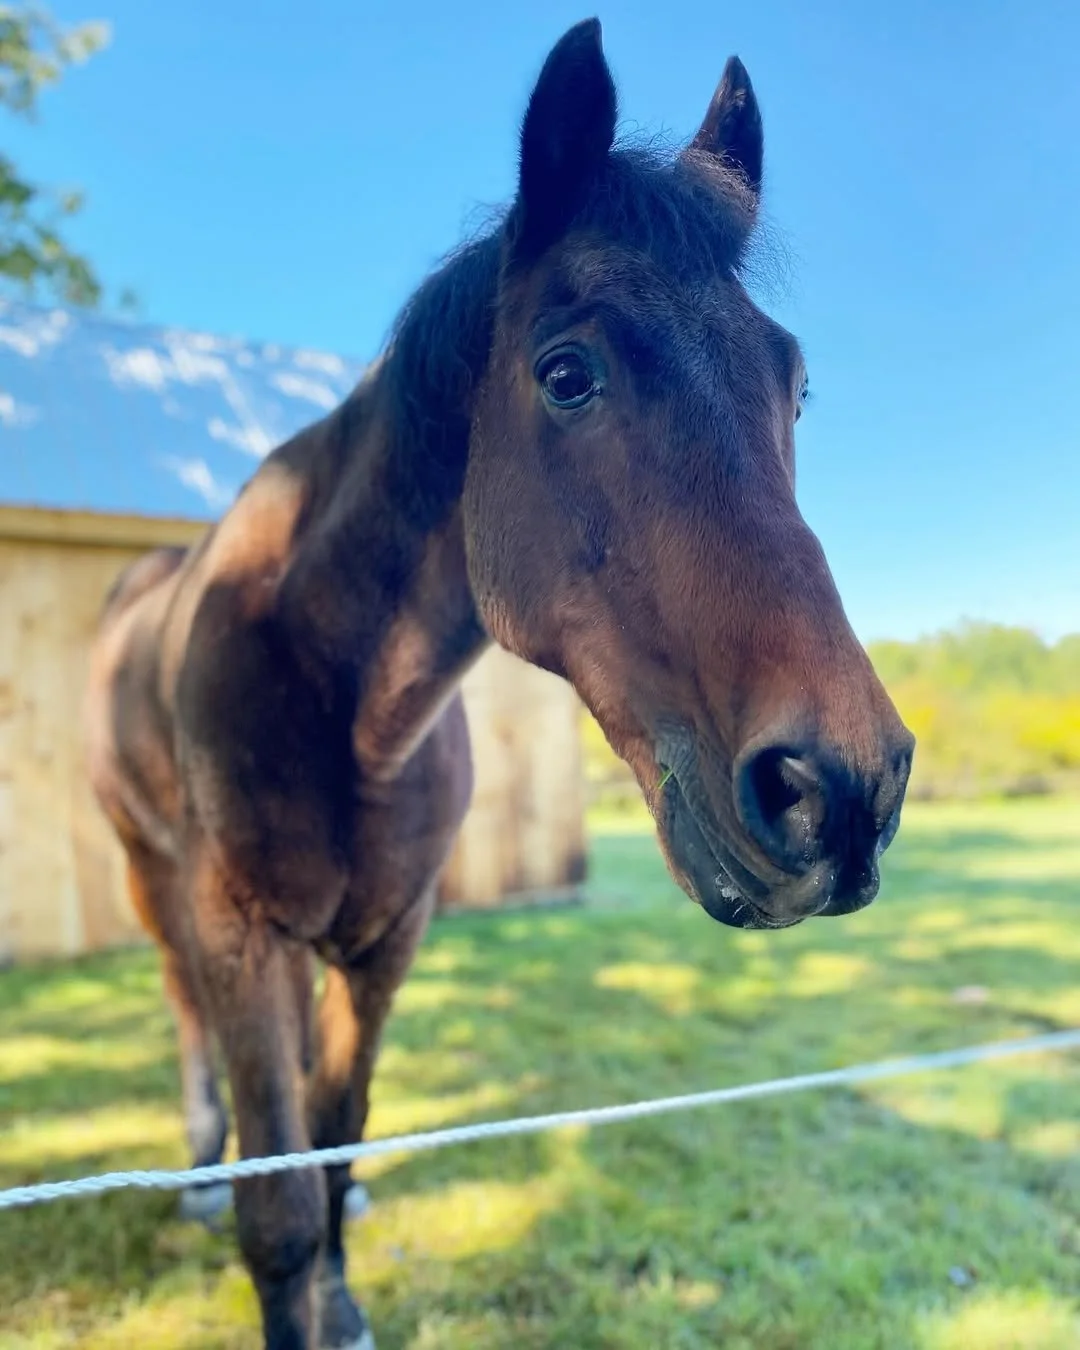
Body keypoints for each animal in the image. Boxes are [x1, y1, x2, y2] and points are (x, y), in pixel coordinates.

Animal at [83, 19, 914, 1350]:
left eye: (792, 384)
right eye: (566, 374)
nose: (840, 790)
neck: (343, 701)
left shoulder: (387, 944)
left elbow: (336, 1148)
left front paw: (343, 1299)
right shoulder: (240, 934)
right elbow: (278, 1210)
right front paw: (283, 1260)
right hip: (155, 882)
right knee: (185, 1020)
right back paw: (200, 1176)